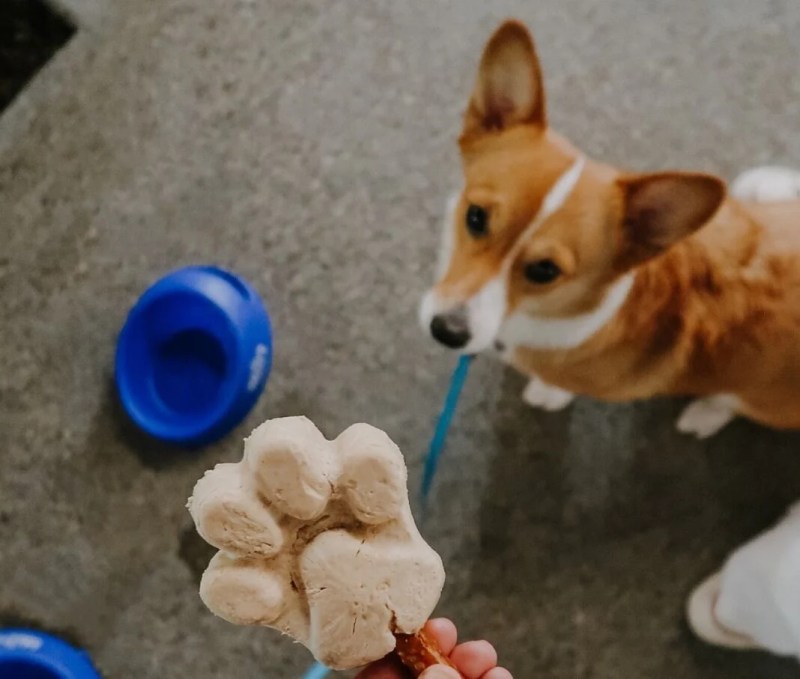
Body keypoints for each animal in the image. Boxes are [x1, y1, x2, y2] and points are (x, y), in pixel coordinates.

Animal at [418, 19, 800, 440]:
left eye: (545, 270)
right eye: (475, 217)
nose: (447, 331)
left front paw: (543, 393)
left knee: (730, 402)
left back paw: (702, 415)